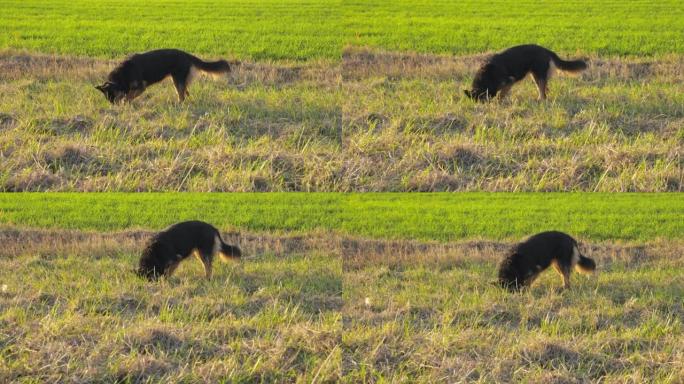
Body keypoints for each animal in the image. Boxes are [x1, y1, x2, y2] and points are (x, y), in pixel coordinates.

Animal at [95, 49, 232, 103]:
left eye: (112, 97)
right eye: (108, 99)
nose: (114, 107)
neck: (122, 75)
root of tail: (186, 55)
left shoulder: (141, 87)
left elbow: (129, 96)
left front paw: (125, 102)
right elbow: (128, 95)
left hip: (177, 79)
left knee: (182, 95)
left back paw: (178, 104)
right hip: (177, 79)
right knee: (185, 92)